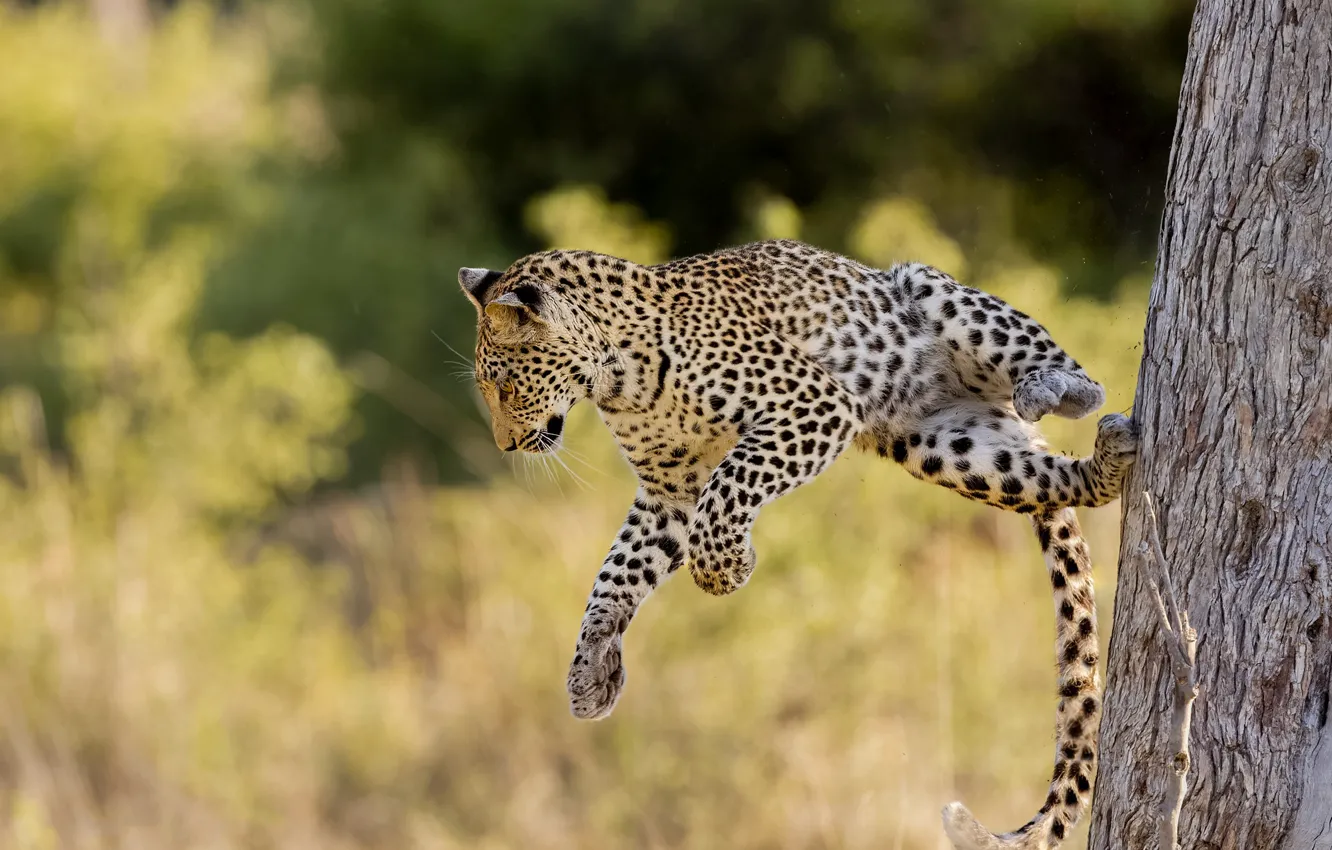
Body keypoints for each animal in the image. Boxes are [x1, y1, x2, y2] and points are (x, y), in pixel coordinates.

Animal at [459, 239, 1138, 849]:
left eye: (504, 385)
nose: (506, 446)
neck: (615, 378)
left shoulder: (811, 405)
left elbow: (728, 489)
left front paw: (730, 567)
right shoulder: (668, 492)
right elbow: (617, 571)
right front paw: (590, 669)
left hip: (929, 290)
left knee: (1070, 373)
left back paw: (1054, 390)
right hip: (945, 446)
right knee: (1052, 479)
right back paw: (1104, 465)